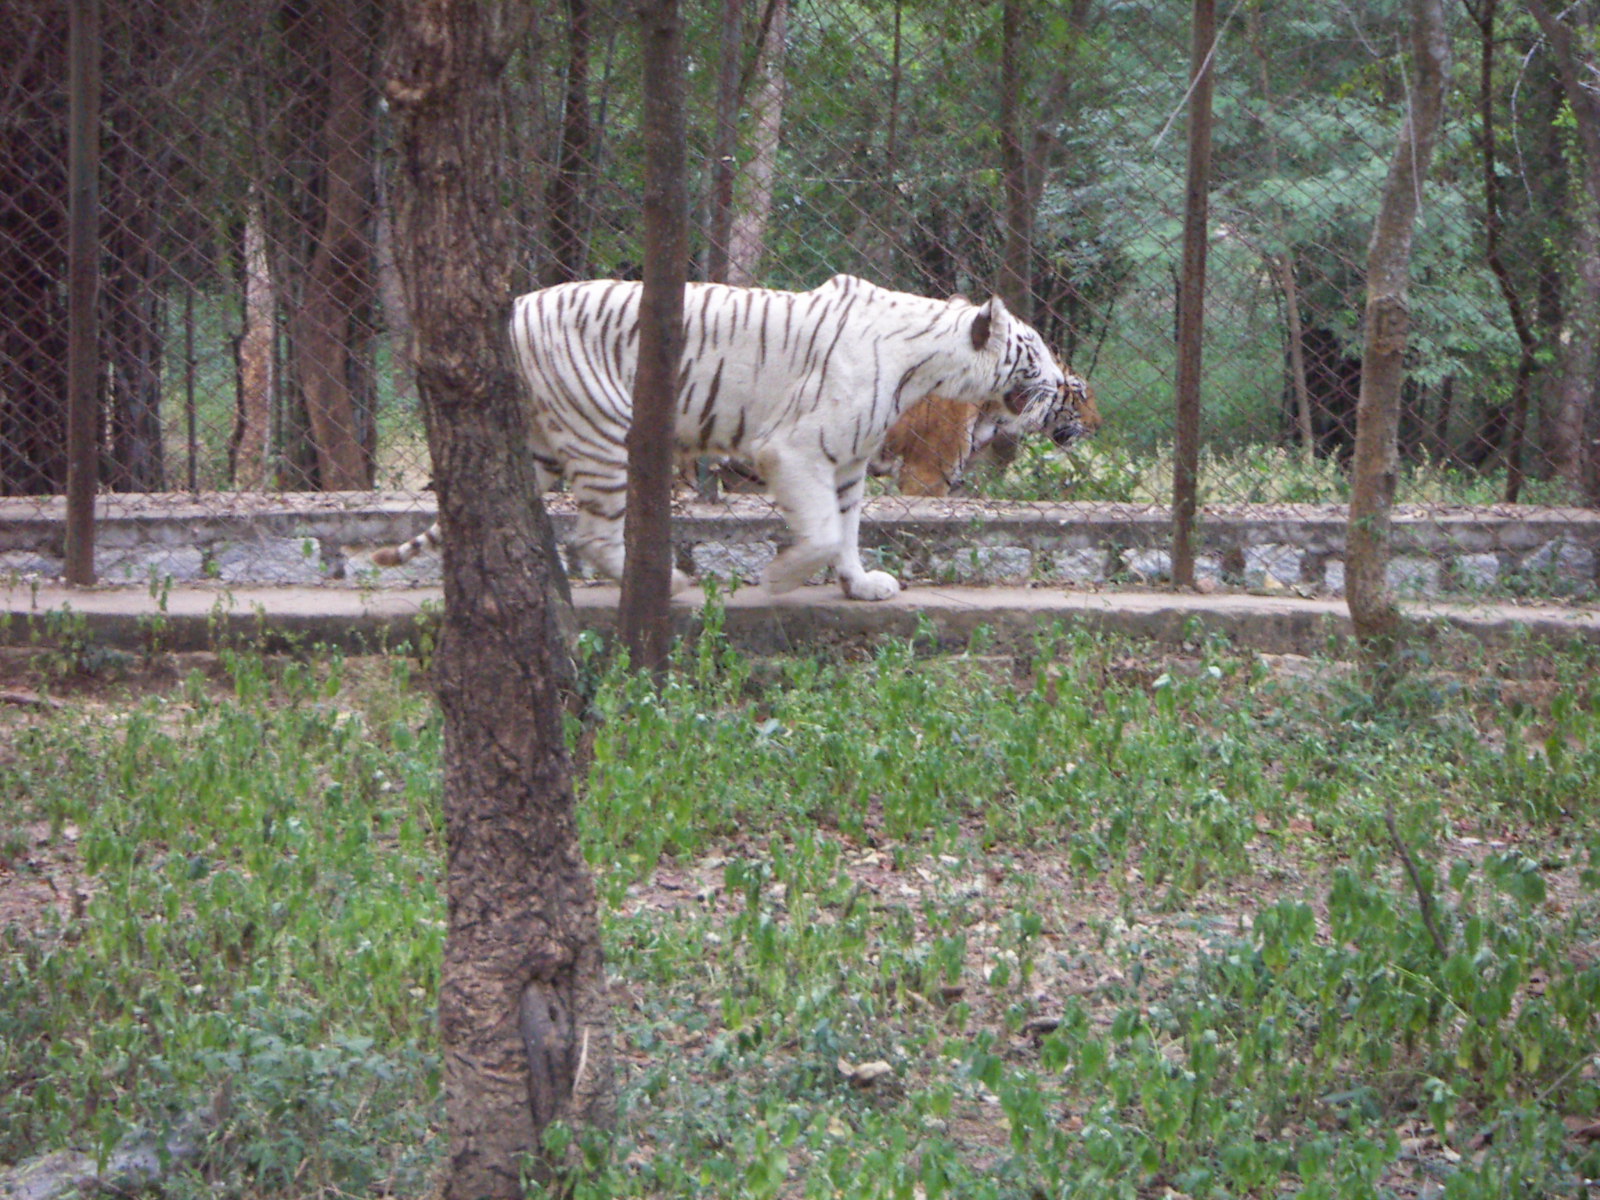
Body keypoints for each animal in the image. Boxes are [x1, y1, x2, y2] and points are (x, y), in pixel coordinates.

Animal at [374, 278, 1088, 604]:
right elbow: (821, 532)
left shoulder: (850, 463)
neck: (927, 366)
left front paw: (860, 584)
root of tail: (515, 305)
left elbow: (848, 530)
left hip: (550, 440)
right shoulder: (794, 449)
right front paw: (779, 577)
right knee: (591, 535)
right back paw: (671, 582)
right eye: (1034, 351)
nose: (1068, 381)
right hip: (605, 429)